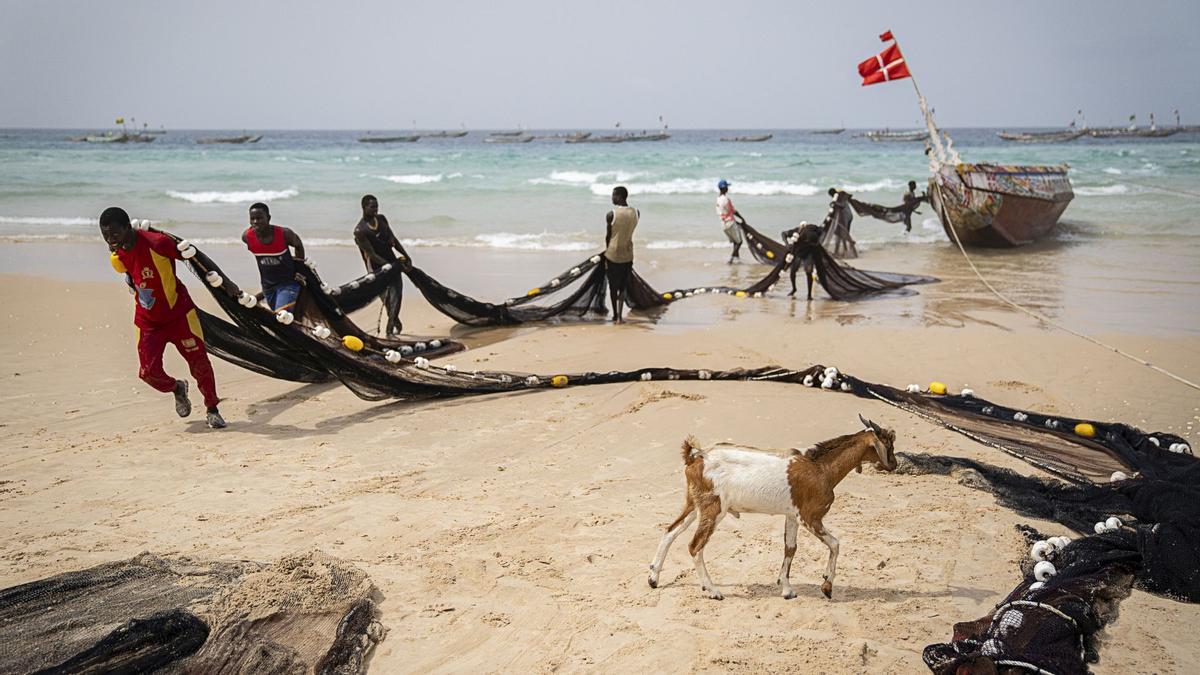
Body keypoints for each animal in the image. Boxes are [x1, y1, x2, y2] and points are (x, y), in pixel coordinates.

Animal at [648, 415, 892, 598]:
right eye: (889, 443)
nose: (894, 464)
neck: (821, 469)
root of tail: (695, 457)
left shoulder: (792, 516)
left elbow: (790, 548)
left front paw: (787, 589)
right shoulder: (809, 517)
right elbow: (835, 543)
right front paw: (826, 586)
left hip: (694, 504)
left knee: (670, 531)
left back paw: (653, 578)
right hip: (713, 508)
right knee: (695, 545)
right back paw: (713, 590)